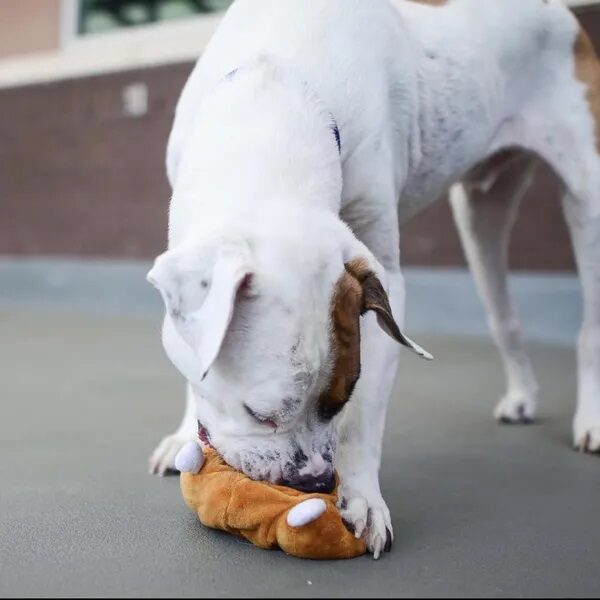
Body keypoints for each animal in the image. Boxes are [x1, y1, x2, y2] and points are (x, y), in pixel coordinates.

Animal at [148, 0, 600, 556]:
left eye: (340, 398)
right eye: (260, 414)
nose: (315, 482)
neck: (274, 94)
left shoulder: (385, 279)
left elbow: (365, 419)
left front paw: (362, 498)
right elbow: (195, 361)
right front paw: (185, 431)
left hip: (588, 199)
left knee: (589, 325)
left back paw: (591, 418)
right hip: (480, 216)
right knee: (504, 315)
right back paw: (522, 397)